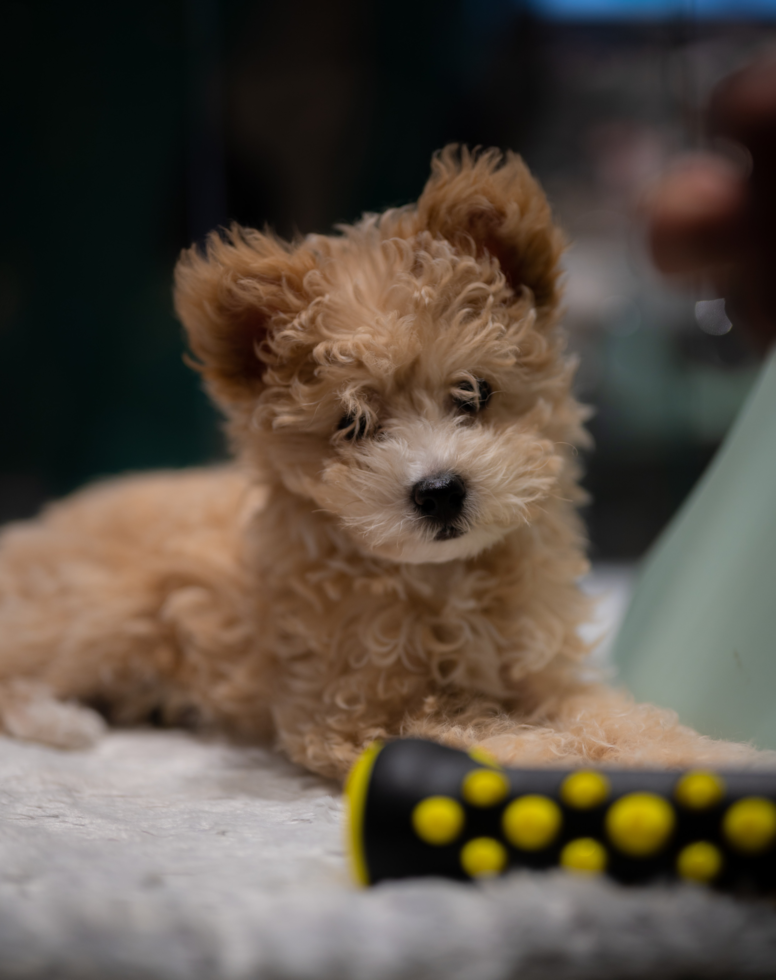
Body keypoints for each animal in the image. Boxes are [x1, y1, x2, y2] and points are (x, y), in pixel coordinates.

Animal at [0, 149, 764, 776]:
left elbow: (612, 717)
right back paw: (65, 721)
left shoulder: (542, 671)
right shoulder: (354, 713)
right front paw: (561, 758)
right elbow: (489, 733)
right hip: (95, 617)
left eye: (473, 393)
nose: (439, 491)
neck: (444, 579)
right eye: (354, 424)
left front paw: (707, 756)